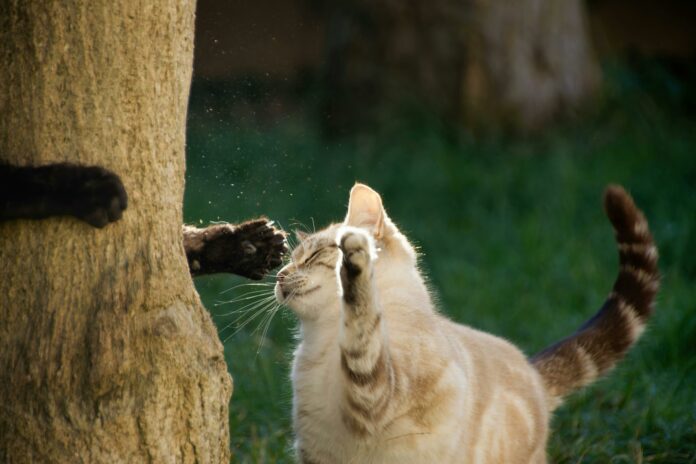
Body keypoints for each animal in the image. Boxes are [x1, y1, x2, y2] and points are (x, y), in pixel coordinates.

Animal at [274, 183, 656, 462]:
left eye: (312, 256)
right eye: (291, 259)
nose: (279, 276)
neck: (322, 339)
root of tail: (533, 372)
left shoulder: (375, 392)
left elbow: (361, 323)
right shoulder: (316, 450)